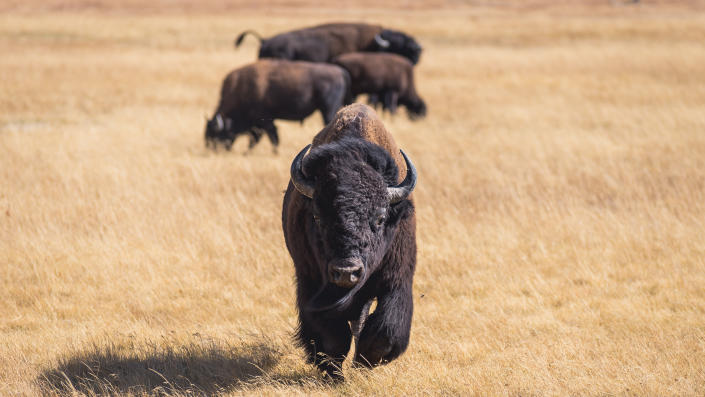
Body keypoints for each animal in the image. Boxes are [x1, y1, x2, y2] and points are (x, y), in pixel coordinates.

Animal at [204, 59, 350, 152]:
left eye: (216, 135)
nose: (213, 150)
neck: (242, 88)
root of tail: (340, 72)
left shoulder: (265, 121)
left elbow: (269, 138)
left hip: (328, 108)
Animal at [280, 102, 416, 378]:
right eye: (317, 217)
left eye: (380, 217)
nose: (346, 271)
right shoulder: (311, 283)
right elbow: (332, 338)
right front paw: (333, 374)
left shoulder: (397, 278)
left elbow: (385, 331)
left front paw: (362, 364)